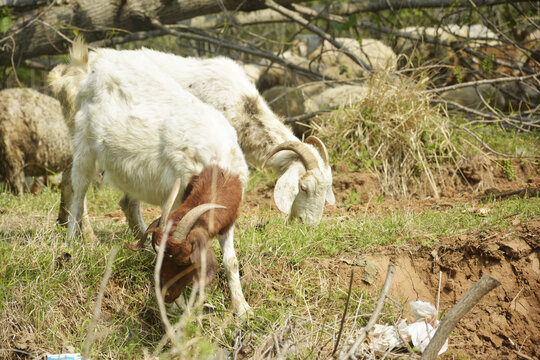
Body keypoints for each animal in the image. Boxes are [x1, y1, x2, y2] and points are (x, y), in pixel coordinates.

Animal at [53, 38, 250, 316]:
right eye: (163, 255)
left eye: (183, 261)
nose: (166, 294)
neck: (217, 168)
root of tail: (89, 68)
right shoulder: (178, 195)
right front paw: (179, 308)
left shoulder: (225, 215)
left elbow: (230, 260)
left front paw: (242, 308)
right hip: (84, 143)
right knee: (78, 189)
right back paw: (72, 244)